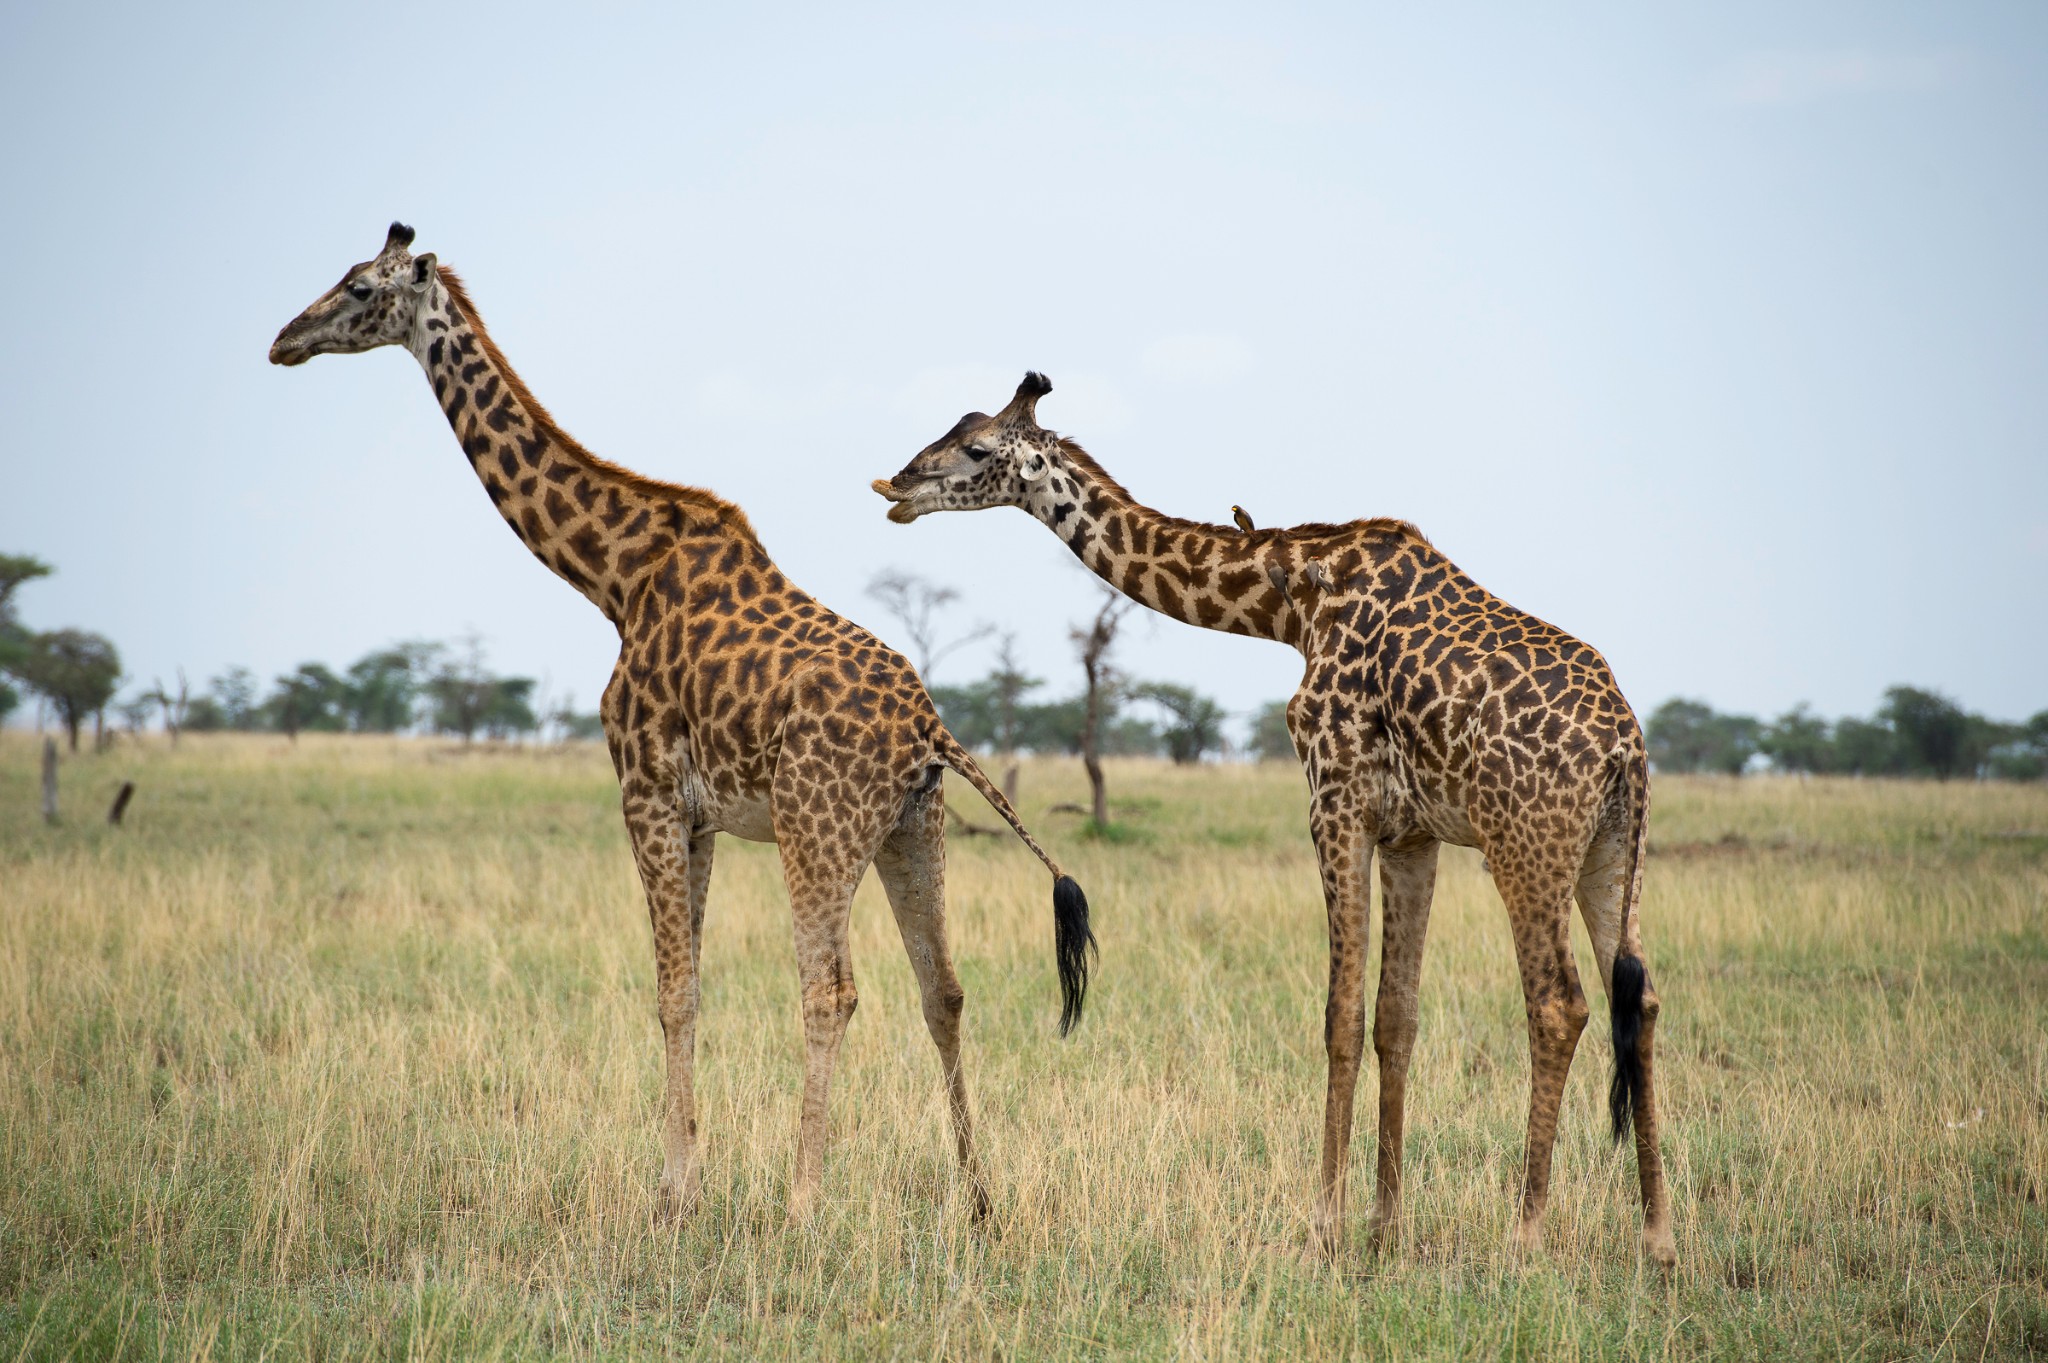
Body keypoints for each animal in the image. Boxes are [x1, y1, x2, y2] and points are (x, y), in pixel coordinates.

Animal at [276, 228, 1105, 1211]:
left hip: (816, 827)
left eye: (360, 288)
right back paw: (977, 1200)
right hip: (914, 824)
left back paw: (802, 1199)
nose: (285, 339)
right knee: (942, 987)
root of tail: (929, 728)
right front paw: (685, 1178)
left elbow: (672, 989)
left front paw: (673, 1192)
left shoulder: (644, 790)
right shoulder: (700, 814)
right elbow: (695, 986)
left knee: (830, 990)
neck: (614, 576)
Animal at [872, 368, 1671, 1260]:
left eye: (977, 448)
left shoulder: (1336, 798)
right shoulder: (1411, 832)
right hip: (1609, 850)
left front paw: (1324, 1226)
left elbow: (1341, 1015)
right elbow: (1397, 1018)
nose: (897, 485)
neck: (1288, 605)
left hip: (1525, 844)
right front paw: (1384, 1228)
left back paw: (1524, 1236)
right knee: (1639, 999)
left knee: (1559, 1004)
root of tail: (1625, 746)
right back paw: (1658, 1237)